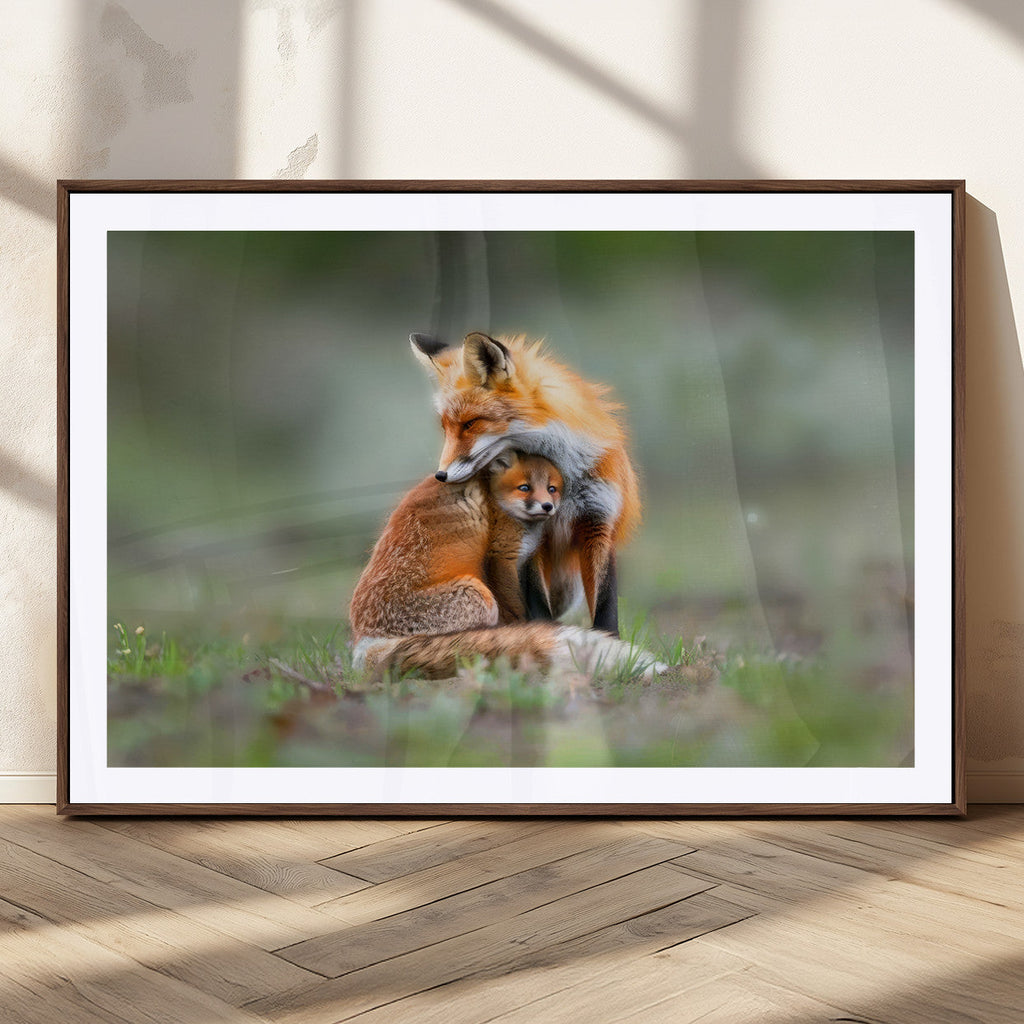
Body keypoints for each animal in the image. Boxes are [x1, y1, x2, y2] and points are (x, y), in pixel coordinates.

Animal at [411, 330, 641, 638]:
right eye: (445, 428)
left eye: (470, 423)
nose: (441, 475)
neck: (564, 479)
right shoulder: (530, 535)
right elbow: (537, 603)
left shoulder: (598, 523)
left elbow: (605, 606)